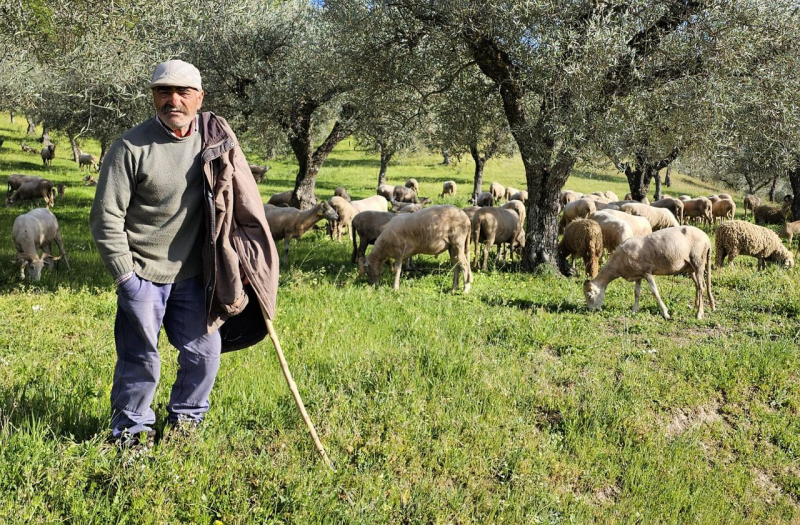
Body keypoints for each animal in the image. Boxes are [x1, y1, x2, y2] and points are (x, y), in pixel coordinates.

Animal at [580, 225, 720, 320]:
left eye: (589, 295)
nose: (591, 311)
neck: (618, 264)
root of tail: (707, 239)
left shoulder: (647, 272)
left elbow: (655, 292)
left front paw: (665, 313)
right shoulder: (638, 275)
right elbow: (636, 293)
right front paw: (634, 310)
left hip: (698, 261)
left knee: (701, 286)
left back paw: (699, 313)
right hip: (690, 267)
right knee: (699, 285)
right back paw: (701, 306)